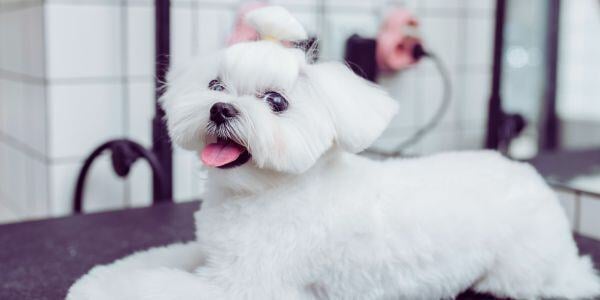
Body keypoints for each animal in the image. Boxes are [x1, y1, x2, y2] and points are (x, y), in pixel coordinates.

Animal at [68, 5, 596, 300]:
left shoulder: (243, 286)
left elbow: (150, 286)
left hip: (523, 271)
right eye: (216, 85)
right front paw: (101, 276)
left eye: (276, 102)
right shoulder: (212, 254)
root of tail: (528, 176)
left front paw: (93, 290)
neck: (263, 195)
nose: (220, 108)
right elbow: (149, 262)